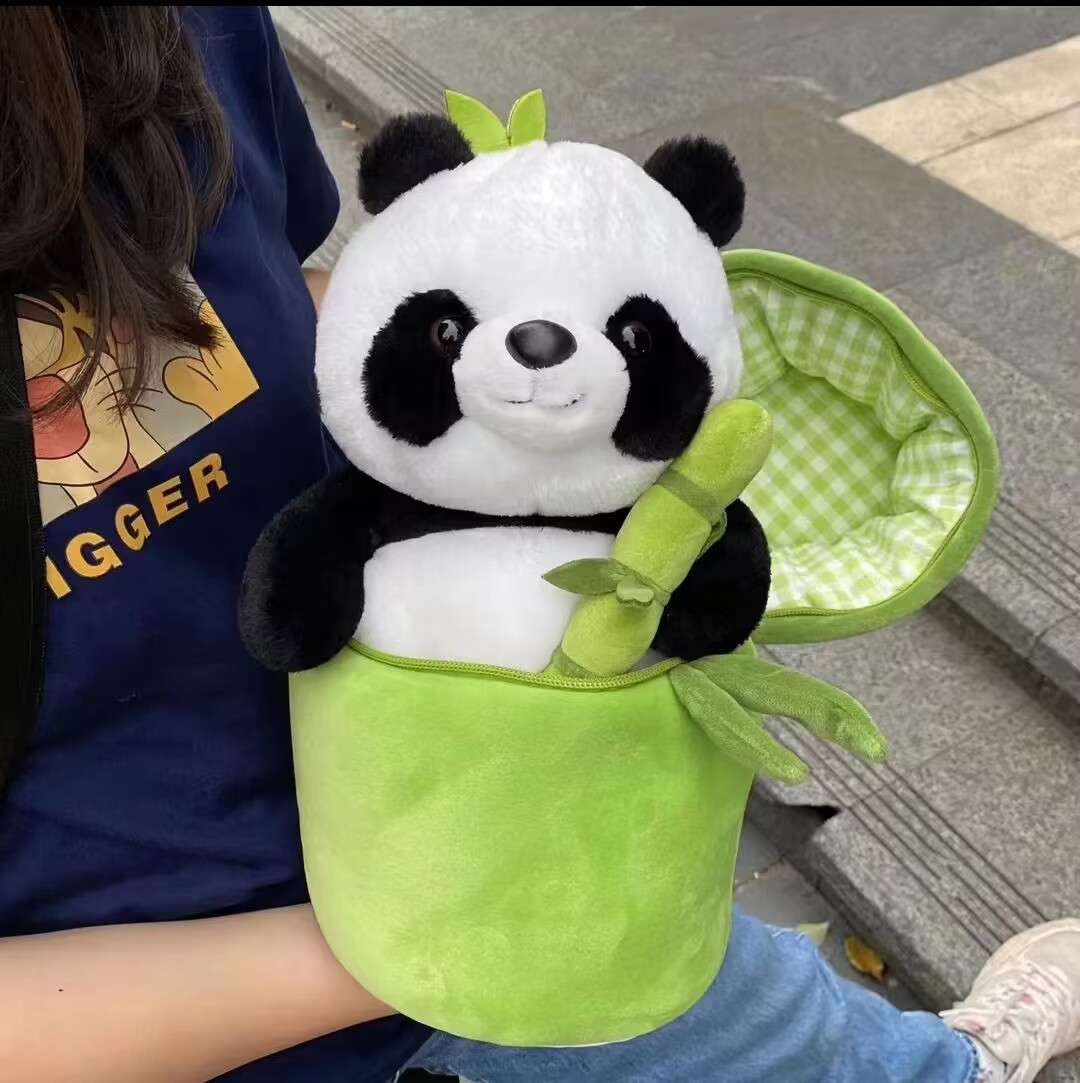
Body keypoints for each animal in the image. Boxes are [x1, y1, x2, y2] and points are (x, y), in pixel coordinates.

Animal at [239, 113, 771, 675]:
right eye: (446, 329)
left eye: (636, 336)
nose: (541, 341)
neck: (519, 514)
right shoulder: (380, 500)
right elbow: (304, 545)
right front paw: (287, 625)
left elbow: (731, 570)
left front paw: (693, 606)